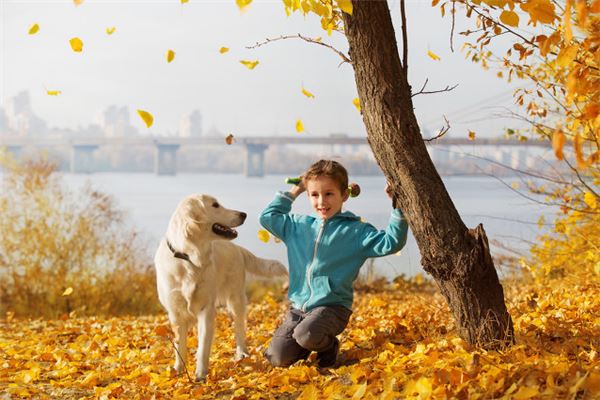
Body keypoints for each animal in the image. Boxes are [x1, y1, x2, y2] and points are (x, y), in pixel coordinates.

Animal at [154, 194, 288, 382]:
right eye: (215, 205)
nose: (243, 214)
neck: (190, 257)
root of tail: (238, 248)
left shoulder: (207, 309)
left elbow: (204, 346)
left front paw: (200, 375)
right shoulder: (176, 312)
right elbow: (180, 345)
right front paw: (178, 370)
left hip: (236, 299)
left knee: (240, 327)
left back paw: (242, 354)